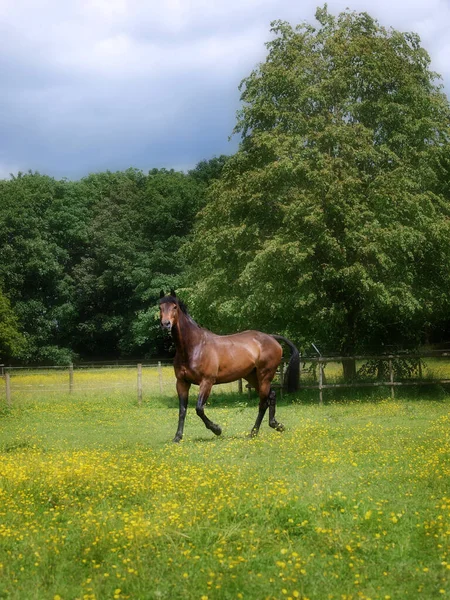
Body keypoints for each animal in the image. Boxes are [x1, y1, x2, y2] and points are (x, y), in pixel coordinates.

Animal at [158, 288, 298, 442]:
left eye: (174, 307)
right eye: (160, 307)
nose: (166, 324)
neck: (194, 347)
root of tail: (272, 338)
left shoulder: (207, 382)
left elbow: (199, 408)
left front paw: (217, 429)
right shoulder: (182, 383)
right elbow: (182, 410)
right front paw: (177, 437)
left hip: (265, 376)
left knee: (263, 402)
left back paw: (254, 432)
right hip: (253, 377)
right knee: (271, 396)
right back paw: (276, 425)